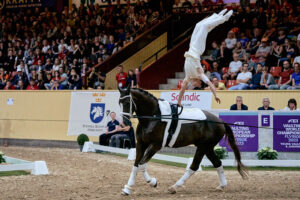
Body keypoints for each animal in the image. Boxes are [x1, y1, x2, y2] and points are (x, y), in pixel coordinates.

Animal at [118, 87, 247, 195]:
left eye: (127, 102)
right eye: (119, 102)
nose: (124, 122)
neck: (154, 117)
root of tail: (220, 122)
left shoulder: (155, 145)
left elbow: (141, 164)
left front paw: (152, 182)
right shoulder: (141, 143)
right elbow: (136, 164)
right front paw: (128, 188)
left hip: (203, 146)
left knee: (194, 166)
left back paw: (174, 187)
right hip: (208, 147)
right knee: (217, 163)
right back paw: (222, 186)